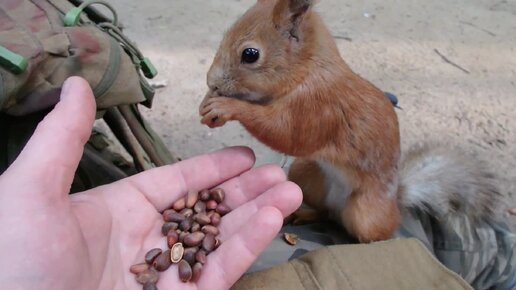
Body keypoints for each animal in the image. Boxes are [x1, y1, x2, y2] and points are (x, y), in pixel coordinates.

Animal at [198, 0, 500, 241]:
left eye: (250, 54)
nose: (211, 82)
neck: (308, 71)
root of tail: (395, 199)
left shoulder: (320, 109)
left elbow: (287, 134)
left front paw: (226, 106)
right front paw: (207, 102)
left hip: (364, 212)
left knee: (371, 229)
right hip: (306, 172)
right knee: (327, 212)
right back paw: (304, 215)